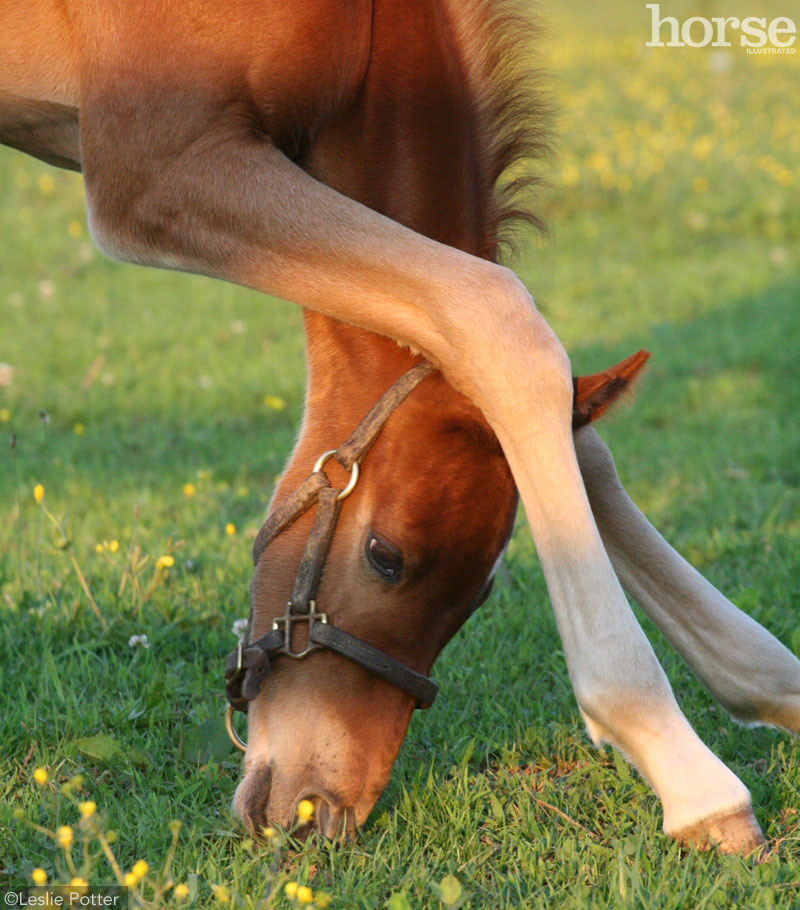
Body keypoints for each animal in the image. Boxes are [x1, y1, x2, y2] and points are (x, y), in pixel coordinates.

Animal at [3, 1, 796, 856]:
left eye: (482, 594)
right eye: (386, 556)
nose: (317, 812)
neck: (365, 30)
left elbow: (561, 419)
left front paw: (767, 685)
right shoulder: (159, 167)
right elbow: (499, 321)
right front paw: (690, 776)